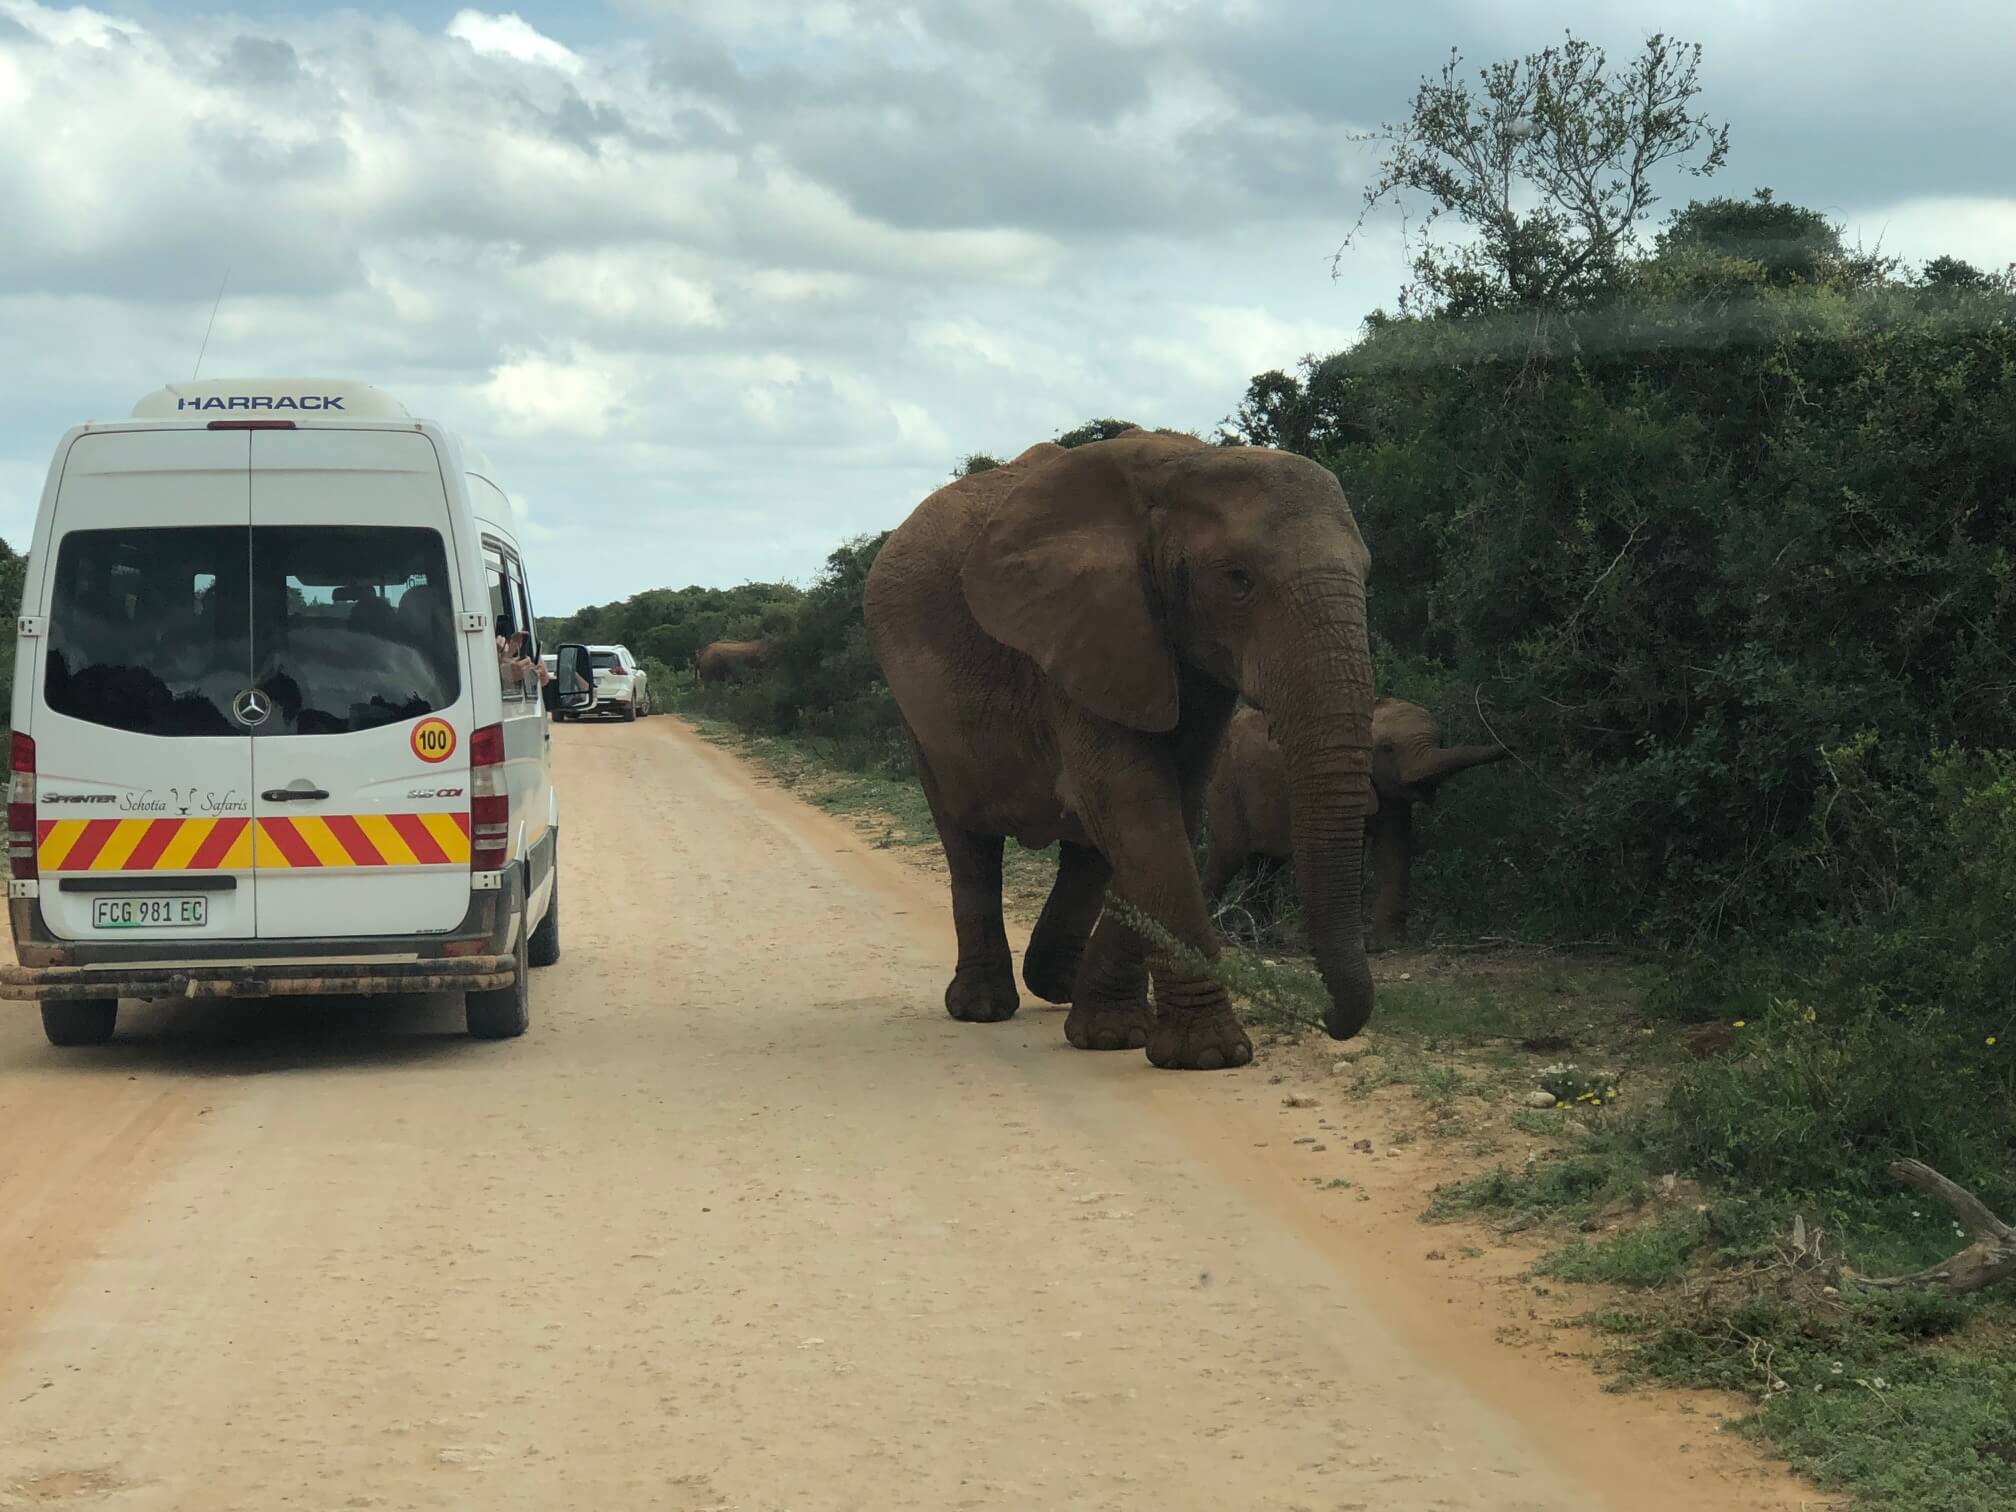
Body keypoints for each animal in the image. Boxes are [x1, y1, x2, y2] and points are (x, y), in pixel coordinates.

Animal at [858, 427, 1378, 1072]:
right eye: (1237, 579)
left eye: (1367, 575)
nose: (1328, 1019)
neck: (1184, 467)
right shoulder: (1078, 631)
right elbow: (1132, 801)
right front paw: (1210, 1055)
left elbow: (1170, 806)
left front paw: (1115, 1035)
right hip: (917, 708)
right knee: (967, 837)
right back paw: (982, 1006)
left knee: (1087, 852)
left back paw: (1058, 985)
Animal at [1193, 697, 1516, 947]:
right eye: (1387, 749)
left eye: (1441, 741)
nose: (1509, 746)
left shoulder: (1387, 793)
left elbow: (1394, 848)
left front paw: (1388, 944)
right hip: (1226, 783)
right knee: (1227, 856)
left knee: (1264, 864)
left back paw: (1260, 939)